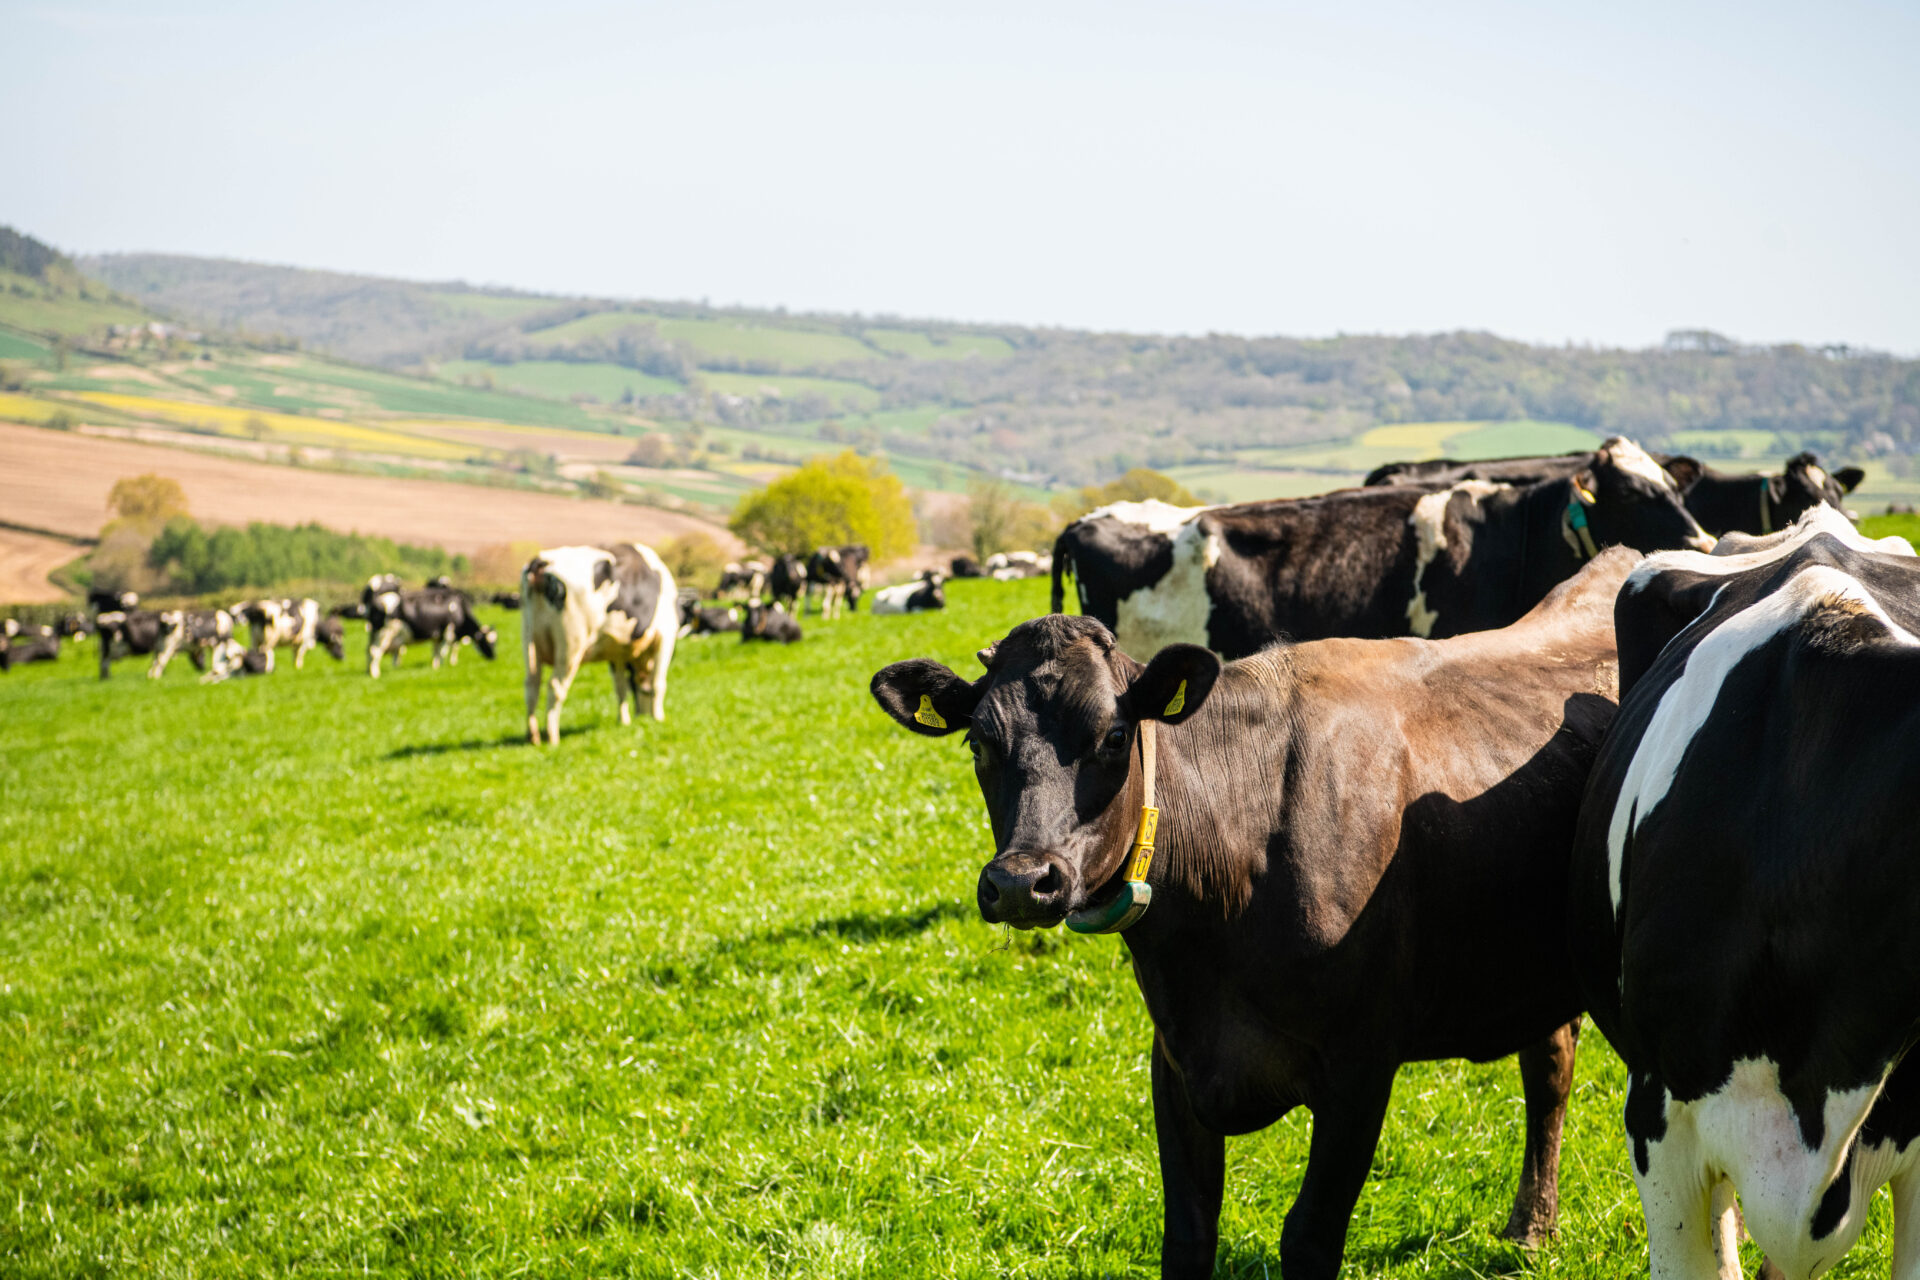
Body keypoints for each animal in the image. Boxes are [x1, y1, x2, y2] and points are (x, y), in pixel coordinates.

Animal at [367, 587, 497, 678]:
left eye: (495, 642)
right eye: (486, 642)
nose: (494, 657)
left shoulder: (437, 636)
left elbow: (436, 652)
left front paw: (435, 666)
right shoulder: (448, 632)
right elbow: (443, 652)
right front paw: (441, 666)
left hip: (375, 634)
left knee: (369, 651)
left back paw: (370, 672)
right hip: (384, 633)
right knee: (375, 652)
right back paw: (375, 674)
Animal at [520, 543, 677, 744]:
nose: (642, 717)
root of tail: (540, 562)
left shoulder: (618, 651)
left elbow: (621, 687)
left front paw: (624, 721)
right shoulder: (666, 636)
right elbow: (658, 684)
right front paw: (658, 718)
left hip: (529, 639)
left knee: (532, 685)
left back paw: (532, 736)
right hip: (571, 643)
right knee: (555, 687)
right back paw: (553, 737)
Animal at [870, 549, 1641, 1279]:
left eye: (1114, 737)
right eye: (978, 742)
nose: (1021, 881)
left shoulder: (1361, 1064)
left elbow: (1307, 1238)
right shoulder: (1176, 1063)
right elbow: (1187, 1236)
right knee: (1550, 1066)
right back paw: (1531, 1227)